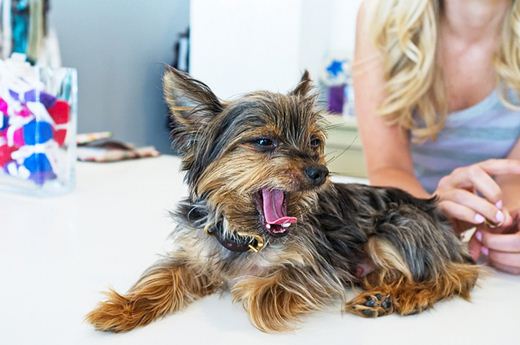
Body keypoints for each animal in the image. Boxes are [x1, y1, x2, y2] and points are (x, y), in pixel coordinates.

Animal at [86, 68, 480, 334]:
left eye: (315, 142)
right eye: (264, 142)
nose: (320, 172)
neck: (248, 236)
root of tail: (439, 214)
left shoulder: (319, 267)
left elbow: (264, 289)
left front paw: (244, 283)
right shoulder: (197, 253)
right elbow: (164, 275)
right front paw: (122, 308)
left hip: (398, 226)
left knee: (456, 273)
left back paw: (406, 295)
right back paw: (380, 291)